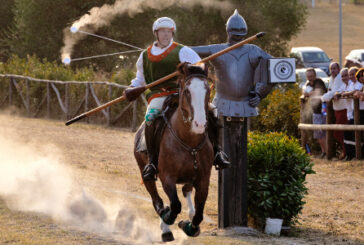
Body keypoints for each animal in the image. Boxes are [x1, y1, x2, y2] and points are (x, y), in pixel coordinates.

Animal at [133, 62, 213, 241]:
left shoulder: (203, 179)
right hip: (144, 171)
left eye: (208, 90)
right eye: (187, 91)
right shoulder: (167, 177)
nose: (200, 124)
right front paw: (168, 217)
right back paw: (166, 229)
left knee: (185, 191)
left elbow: (199, 215)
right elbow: (174, 205)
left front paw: (189, 226)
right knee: (157, 201)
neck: (189, 143)